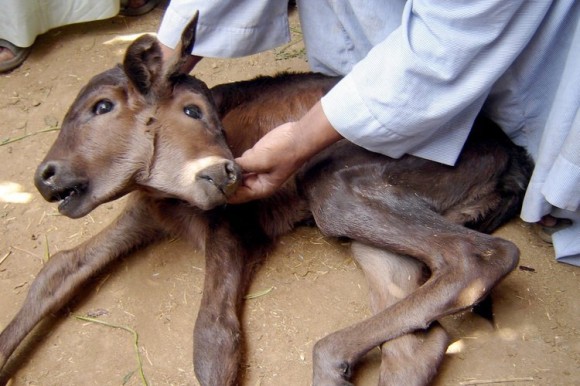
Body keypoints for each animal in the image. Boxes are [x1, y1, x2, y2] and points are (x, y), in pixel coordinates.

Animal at [0, 18, 532, 386]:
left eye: (103, 107)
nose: (45, 176)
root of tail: (510, 155)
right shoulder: (144, 214)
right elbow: (58, 268)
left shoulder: (233, 229)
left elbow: (213, 338)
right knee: (421, 340)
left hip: (339, 186)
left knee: (480, 255)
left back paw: (329, 357)